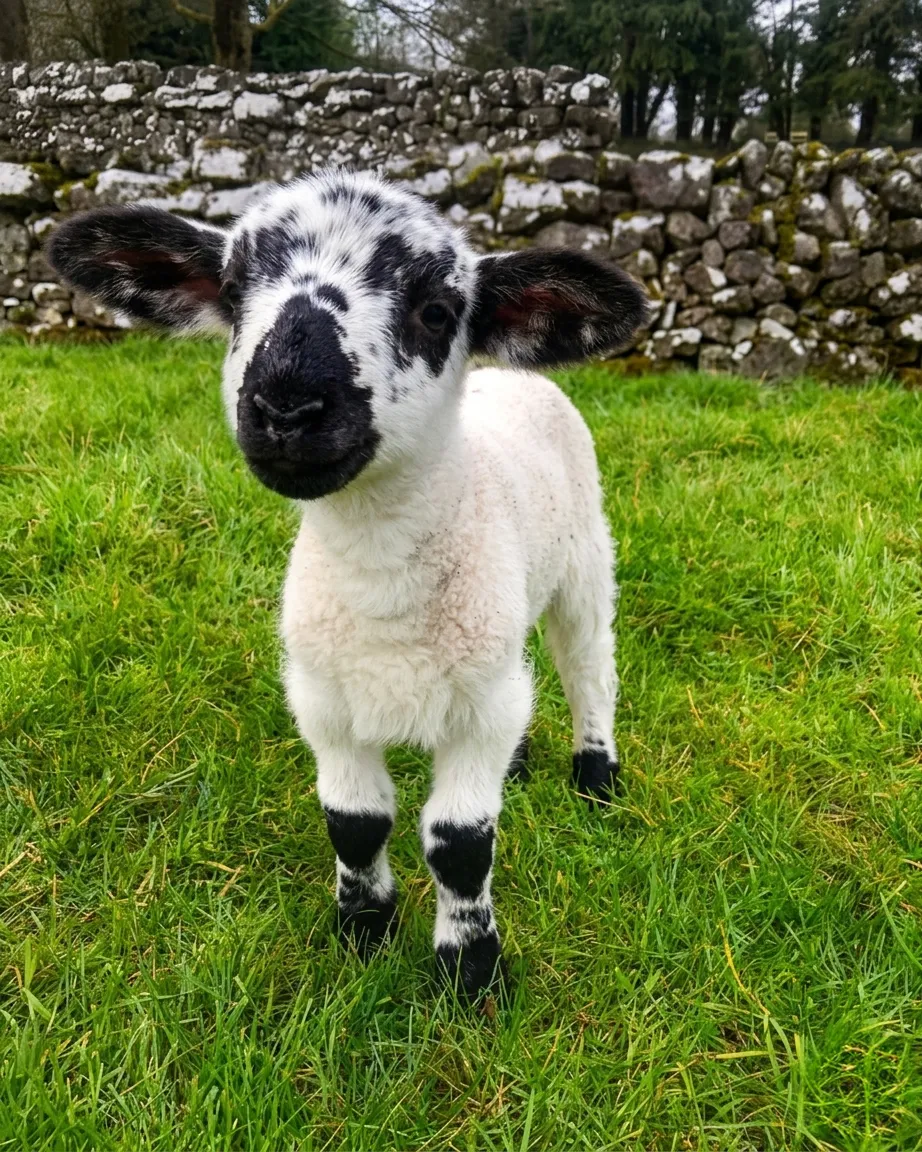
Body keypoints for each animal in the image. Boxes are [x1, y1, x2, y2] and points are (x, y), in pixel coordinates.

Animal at [48, 169, 649, 1000]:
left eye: (436, 311)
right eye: (232, 292)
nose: (286, 404)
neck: (380, 575)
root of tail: (512, 374)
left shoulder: (474, 717)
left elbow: (460, 844)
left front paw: (470, 972)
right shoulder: (324, 701)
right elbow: (354, 822)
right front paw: (363, 932)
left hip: (587, 558)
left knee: (590, 667)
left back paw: (596, 776)